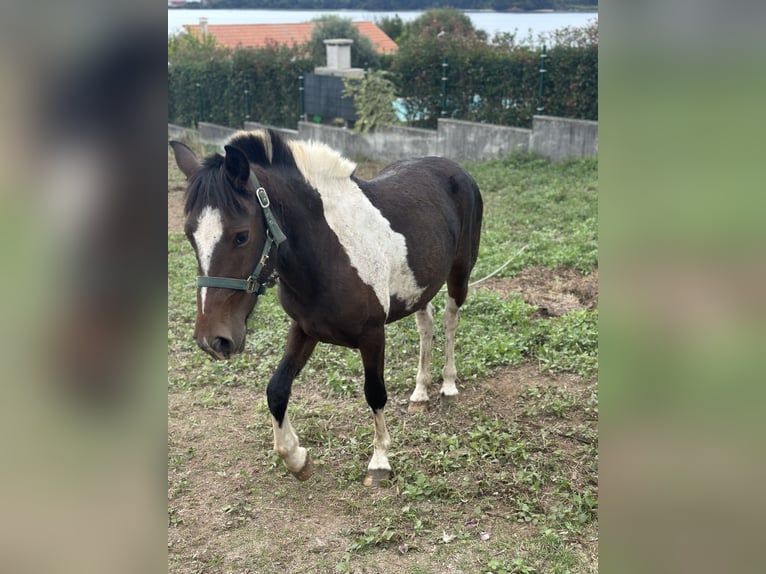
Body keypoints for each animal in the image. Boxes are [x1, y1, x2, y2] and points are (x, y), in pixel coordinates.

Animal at [170, 129, 483, 486]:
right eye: (189, 235)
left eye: (241, 236)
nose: (213, 340)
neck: (328, 253)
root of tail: (455, 168)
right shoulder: (304, 329)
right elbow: (276, 389)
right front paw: (296, 458)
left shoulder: (372, 335)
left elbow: (375, 392)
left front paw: (379, 462)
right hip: (422, 285)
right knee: (425, 325)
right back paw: (420, 392)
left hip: (459, 275)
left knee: (449, 322)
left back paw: (448, 386)